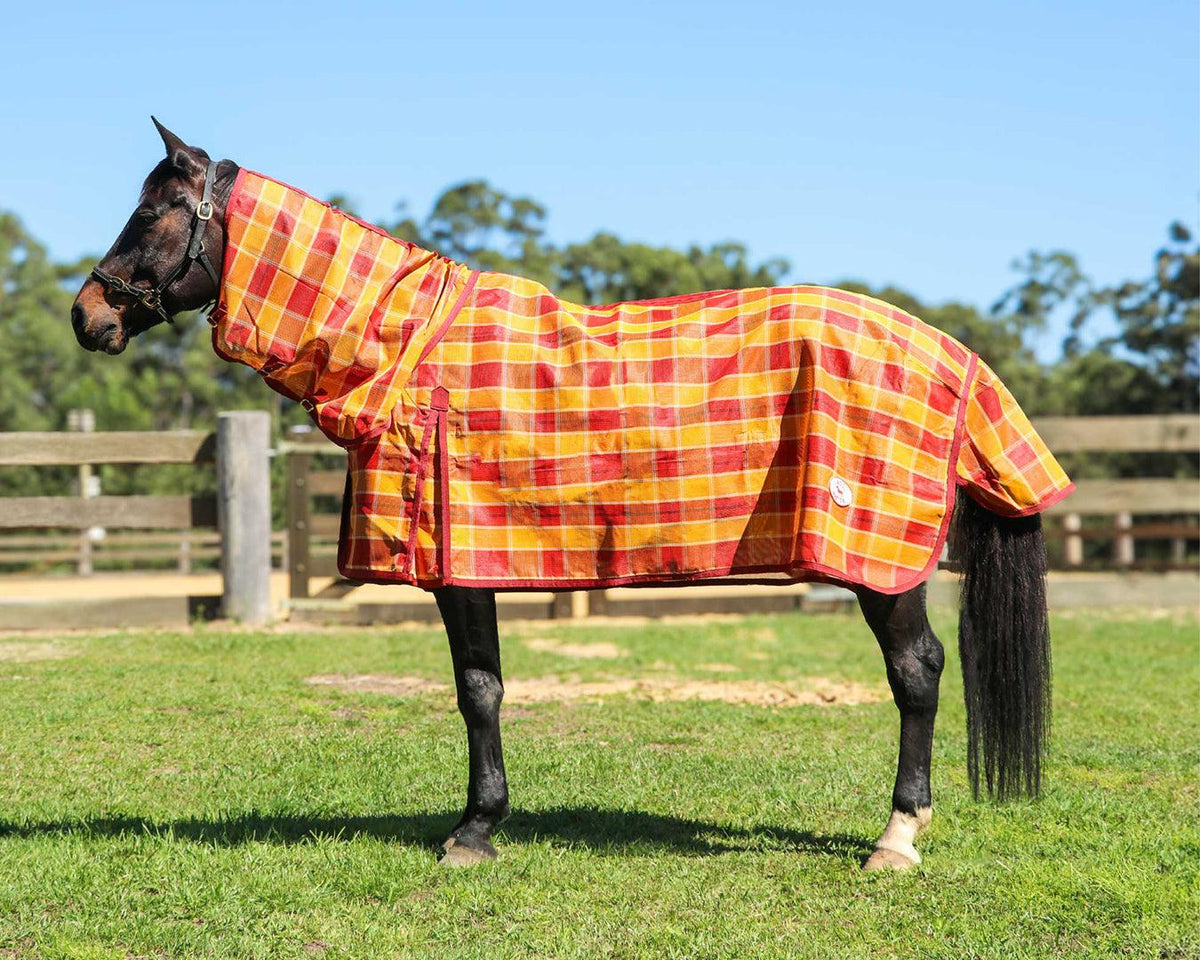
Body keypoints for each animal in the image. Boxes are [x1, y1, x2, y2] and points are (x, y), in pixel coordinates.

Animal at [71, 119, 1070, 870]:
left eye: (154, 211)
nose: (89, 314)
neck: (404, 344)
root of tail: (950, 351)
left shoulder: (460, 565)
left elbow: (478, 689)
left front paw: (473, 831)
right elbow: (484, 686)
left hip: (879, 562)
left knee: (918, 673)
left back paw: (896, 838)